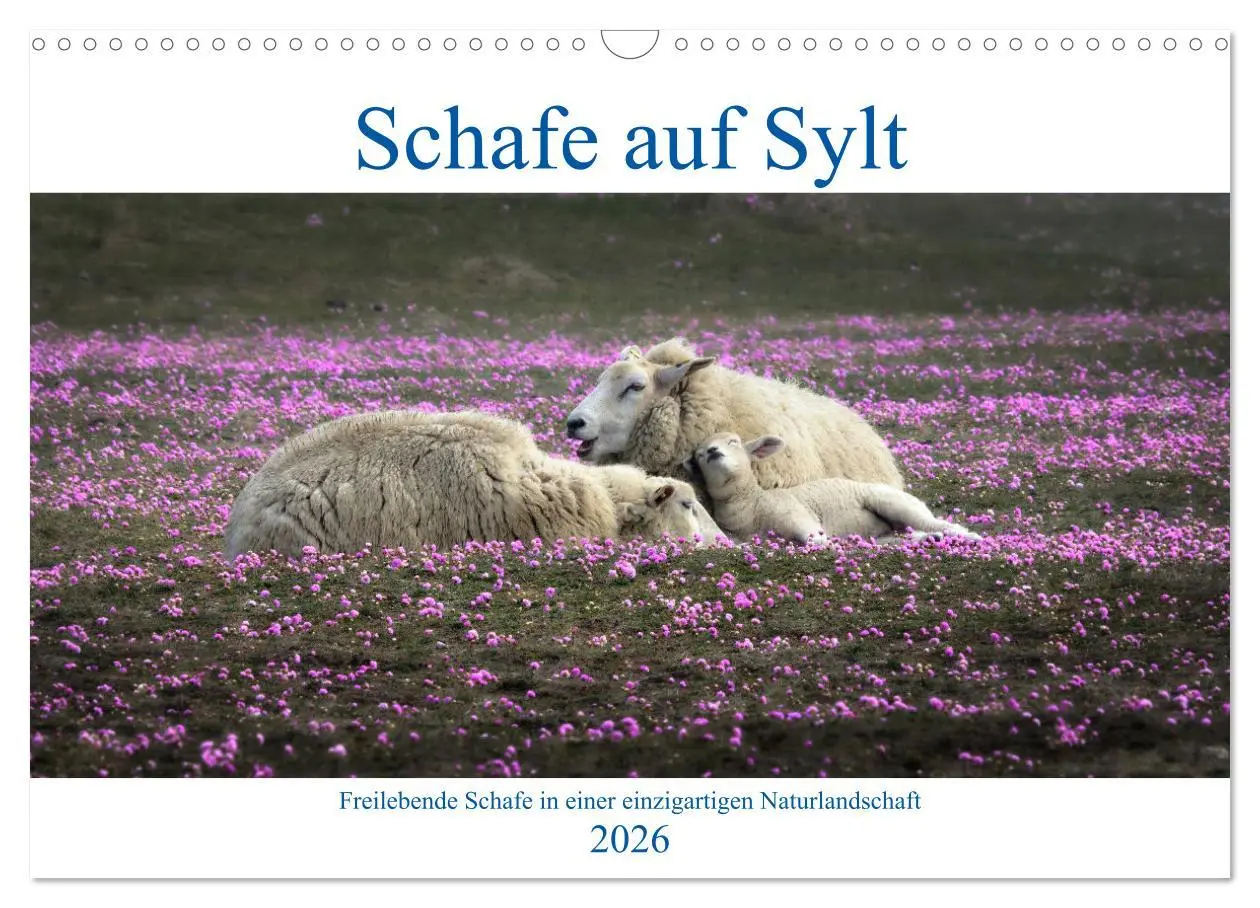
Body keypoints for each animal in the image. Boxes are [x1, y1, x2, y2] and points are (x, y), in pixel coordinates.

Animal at [686, 432, 981, 546]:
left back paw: (968, 536)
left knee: (937, 522)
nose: (712, 452)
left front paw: (829, 543)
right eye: (699, 455)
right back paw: (930, 539)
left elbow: (816, 539)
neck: (750, 501)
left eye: (734, 441)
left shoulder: (796, 515)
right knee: (904, 536)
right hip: (885, 532)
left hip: (894, 503)